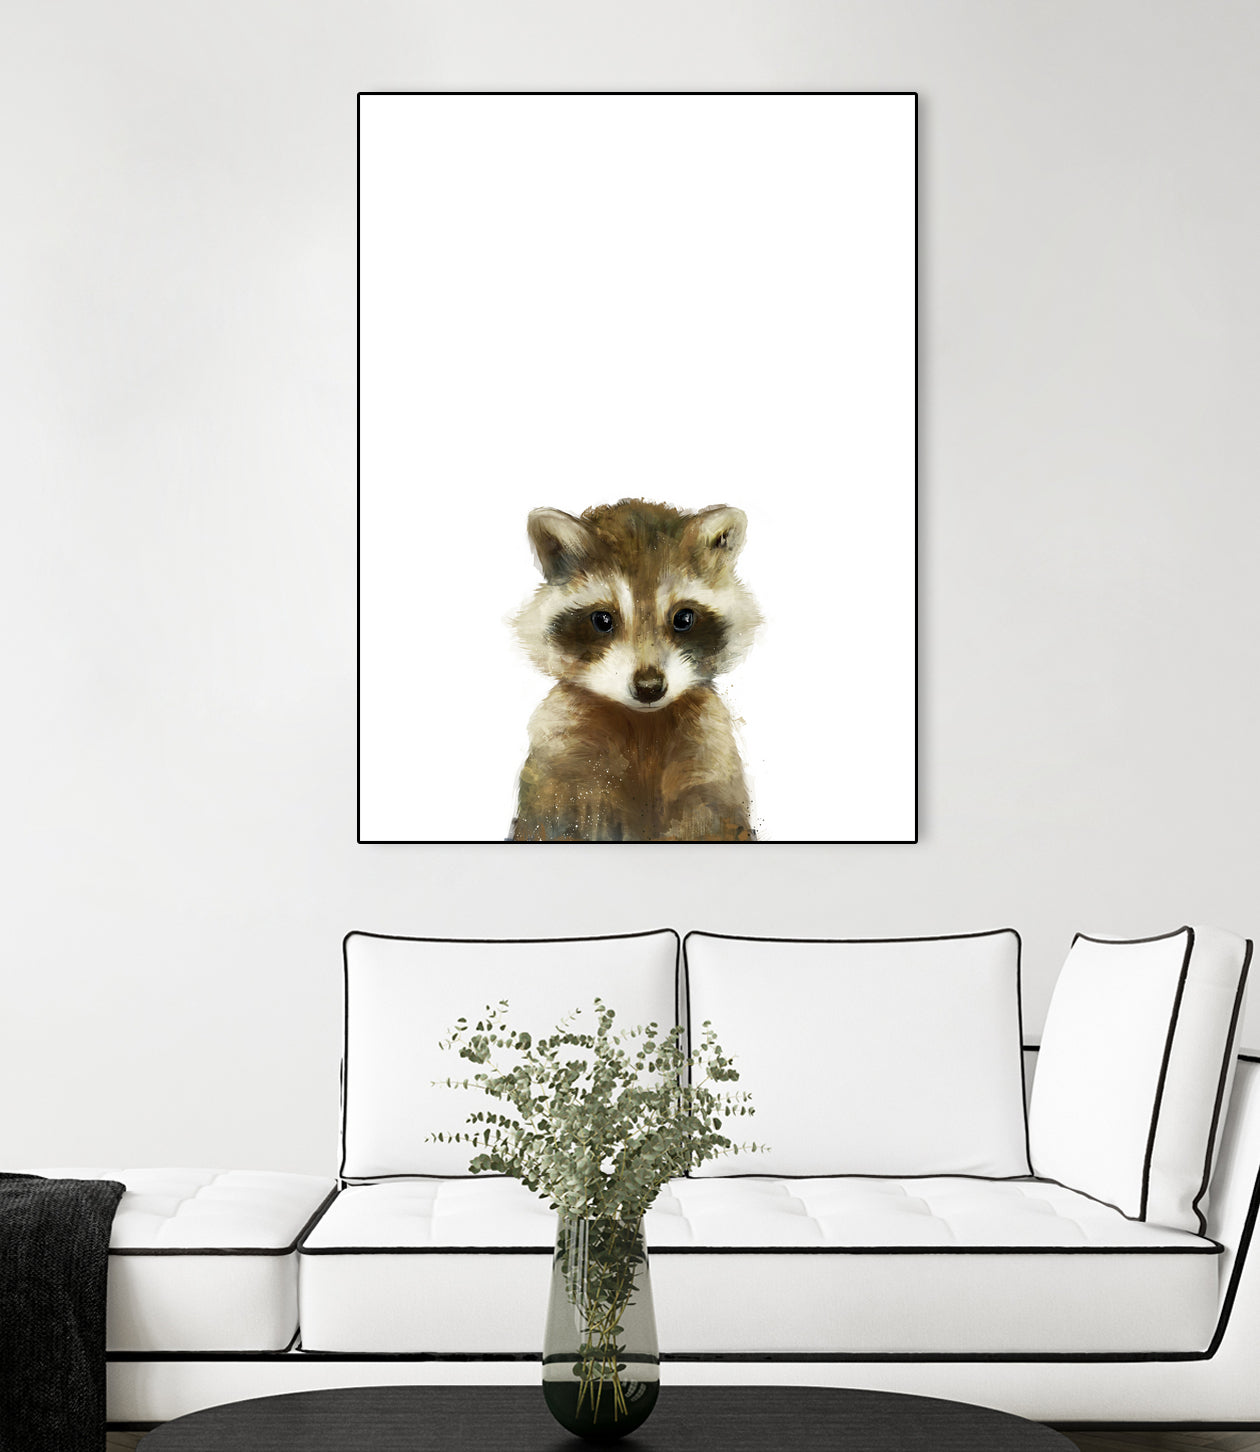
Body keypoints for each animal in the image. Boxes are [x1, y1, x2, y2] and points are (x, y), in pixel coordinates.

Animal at [511, 498, 761, 842]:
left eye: (683, 618)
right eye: (602, 620)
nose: (649, 687)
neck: (644, 724)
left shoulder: (710, 753)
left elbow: (711, 818)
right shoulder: (561, 757)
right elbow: (556, 819)